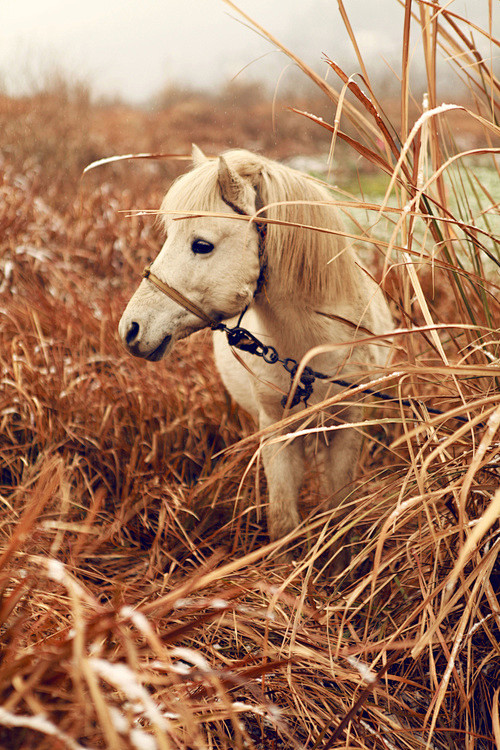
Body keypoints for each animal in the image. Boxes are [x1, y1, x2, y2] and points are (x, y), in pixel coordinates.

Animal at [119, 145, 392, 548]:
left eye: (202, 245)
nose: (131, 329)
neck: (311, 353)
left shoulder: (348, 426)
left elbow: (340, 514)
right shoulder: (276, 430)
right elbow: (283, 522)